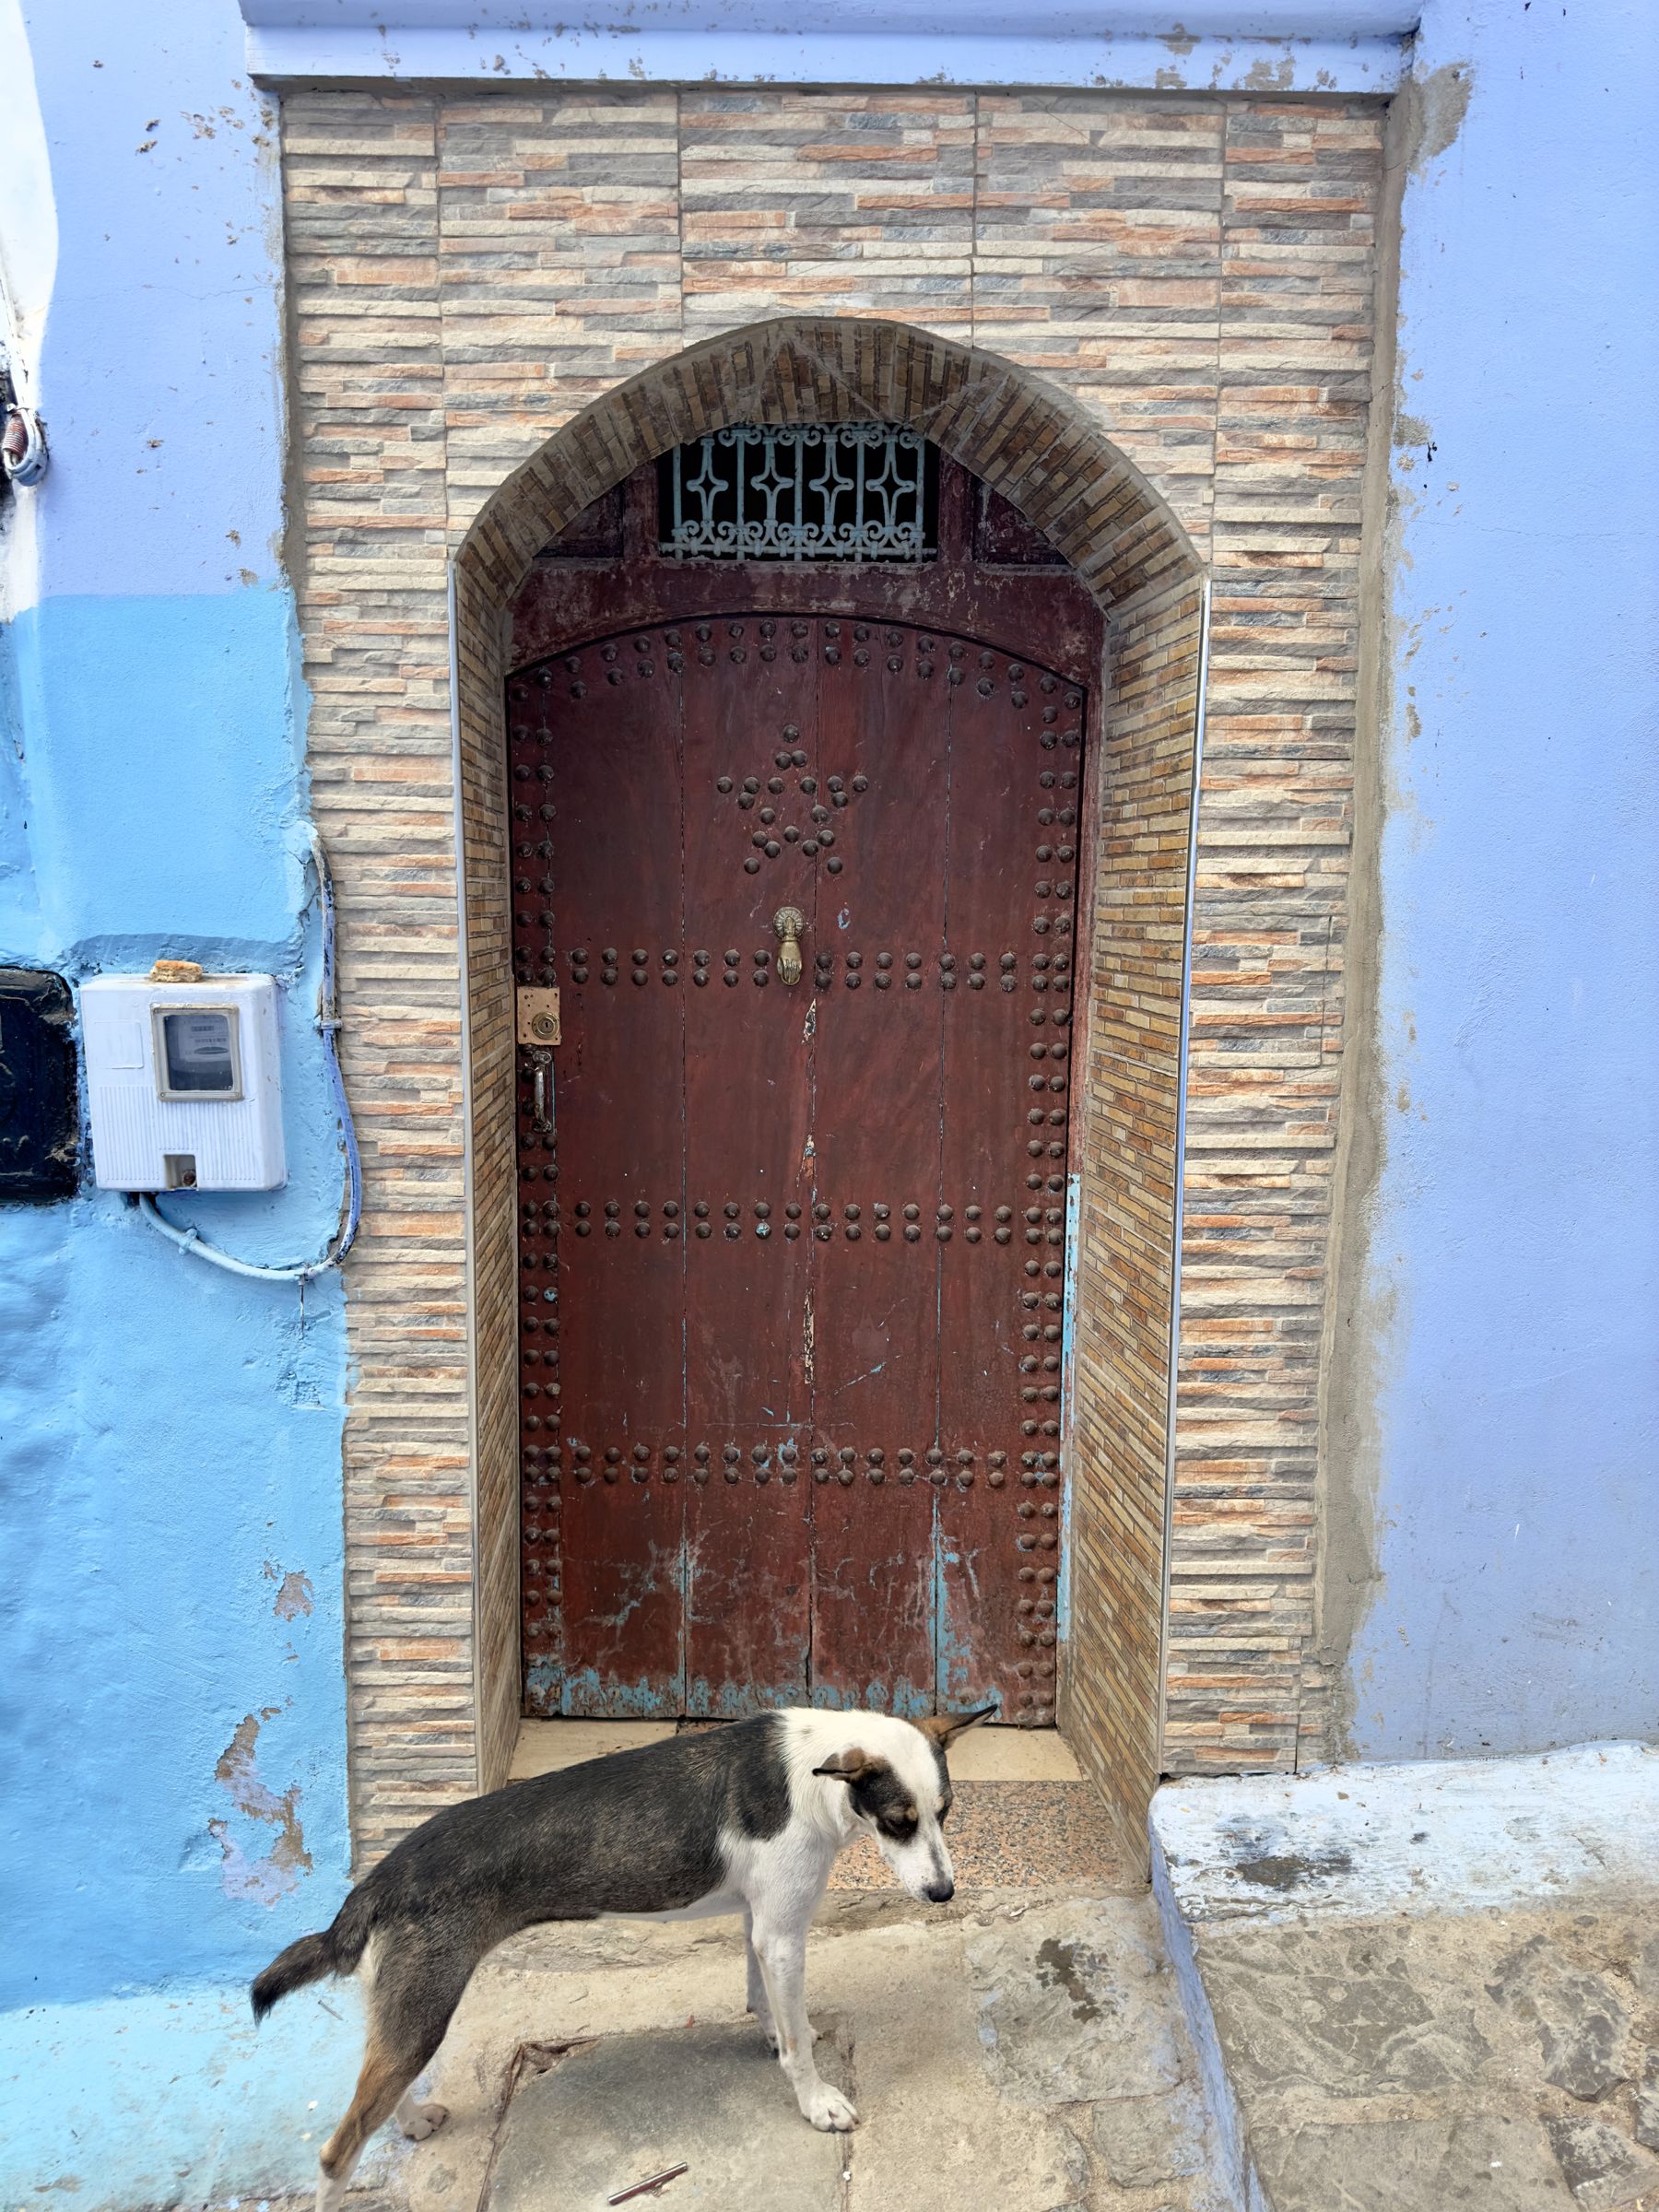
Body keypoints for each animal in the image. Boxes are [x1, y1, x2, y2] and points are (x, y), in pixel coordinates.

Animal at [253, 1699, 995, 2203]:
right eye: (898, 1823)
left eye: (945, 1815)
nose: (943, 1893)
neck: (815, 1780)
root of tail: (385, 1873)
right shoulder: (784, 1934)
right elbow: (798, 2048)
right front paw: (817, 2103)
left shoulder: (761, 1927)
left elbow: (767, 2006)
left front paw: (775, 2031)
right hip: (426, 2005)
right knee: (338, 2149)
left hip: (409, 2010)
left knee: (378, 2084)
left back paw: (410, 2122)